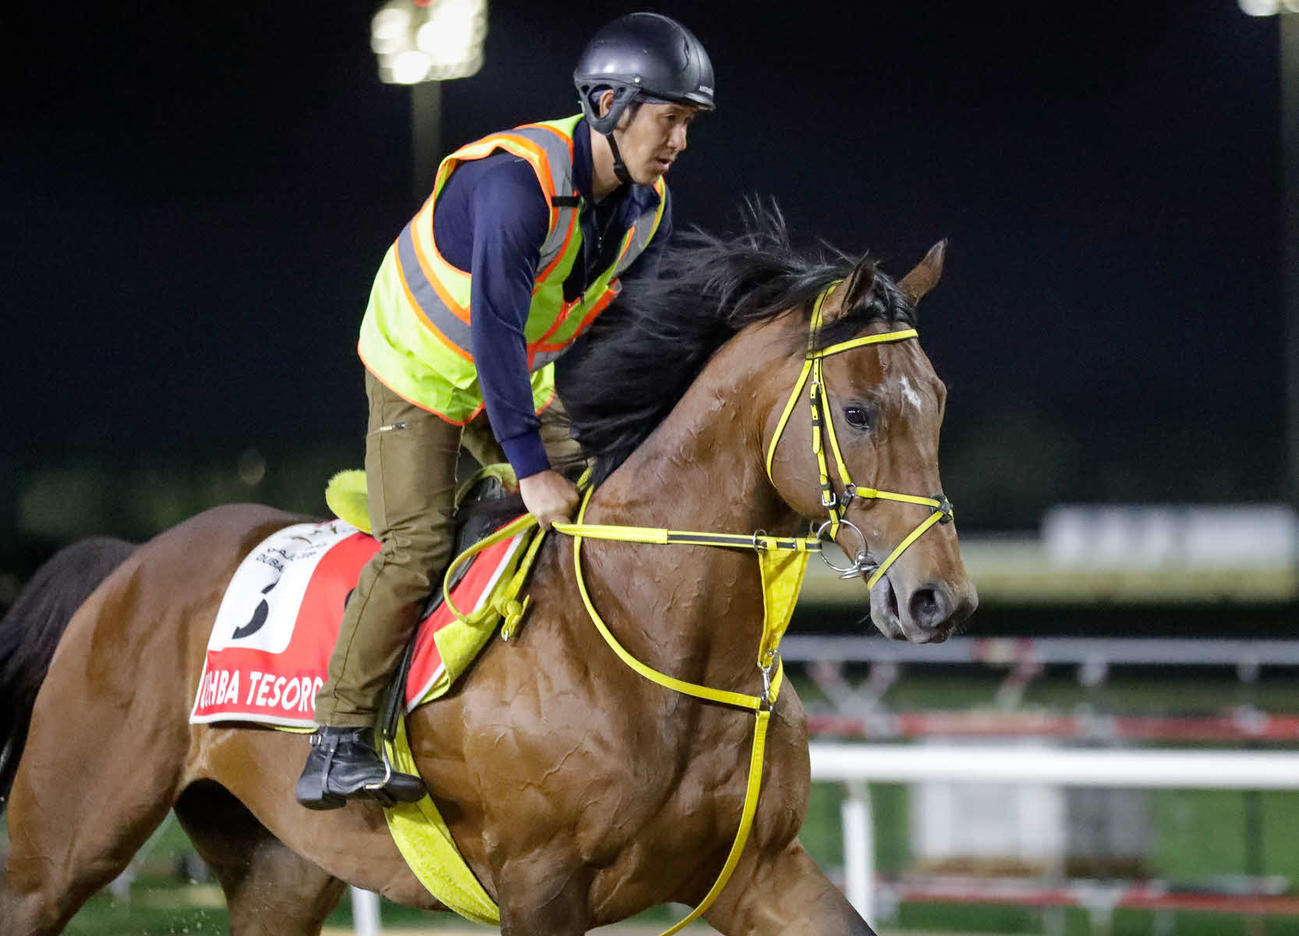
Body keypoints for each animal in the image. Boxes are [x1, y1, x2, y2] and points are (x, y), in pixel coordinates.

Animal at [0, 214, 976, 936]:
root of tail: (129, 563)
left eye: (937, 401)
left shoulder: (757, 870)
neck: (653, 639)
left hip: (279, 865)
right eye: (857, 411)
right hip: (63, 839)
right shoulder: (540, 888)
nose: (939, 599)